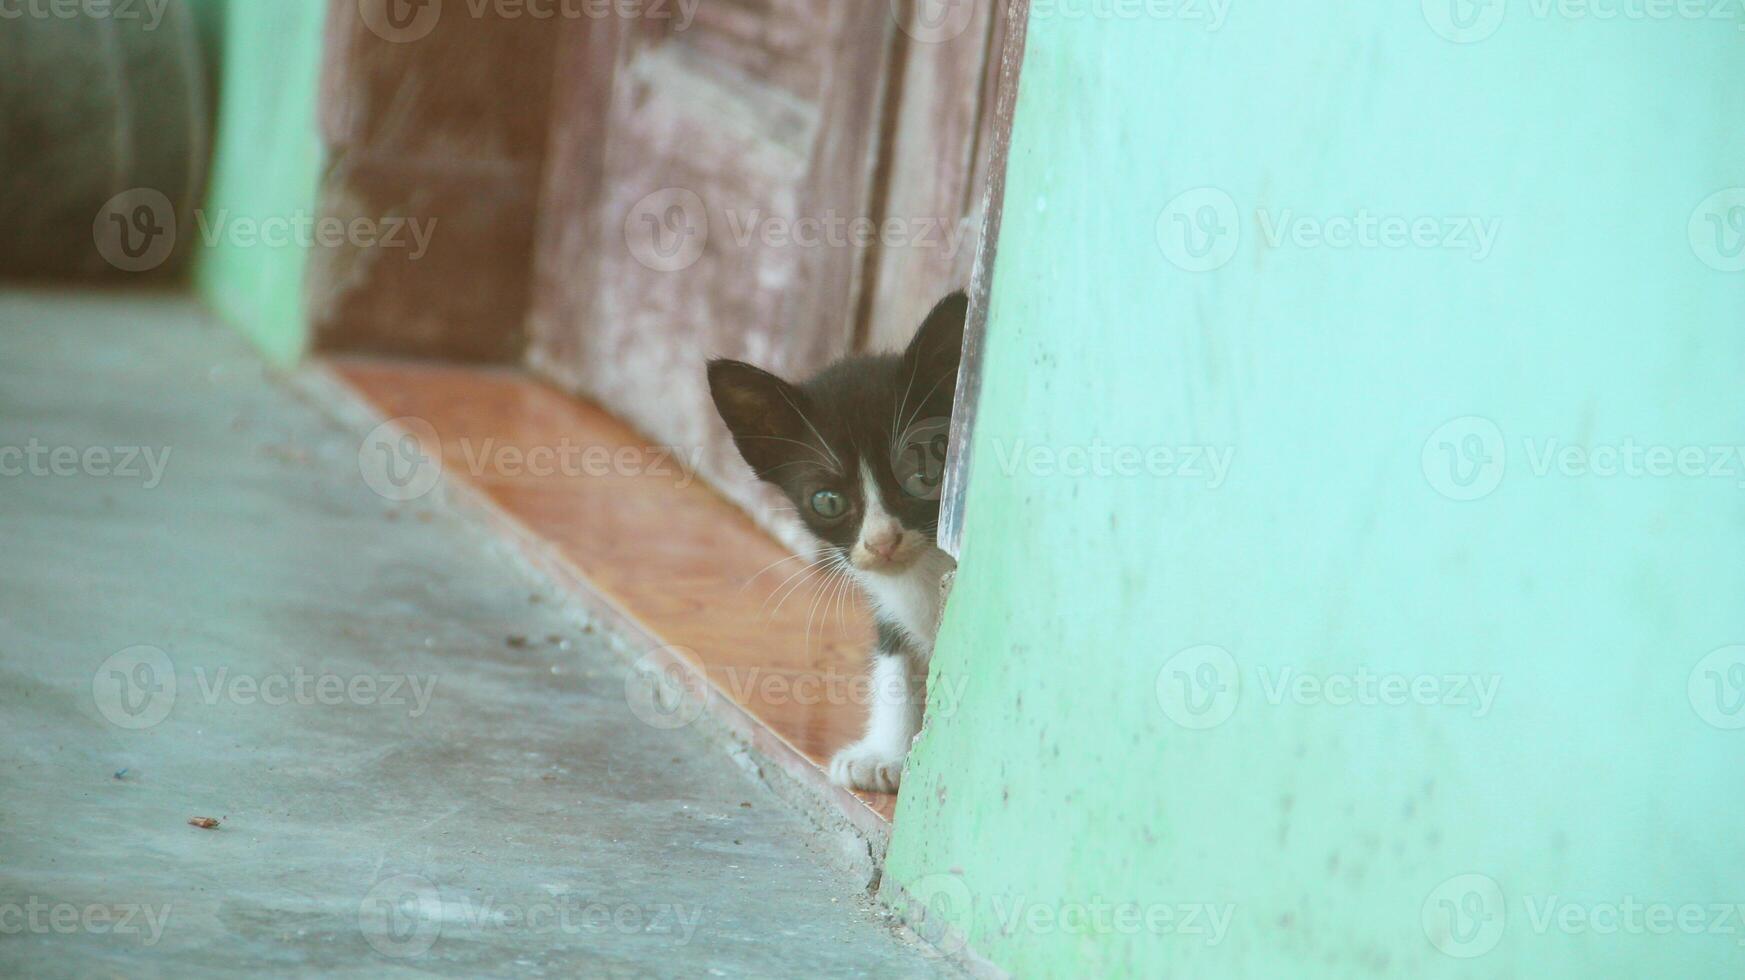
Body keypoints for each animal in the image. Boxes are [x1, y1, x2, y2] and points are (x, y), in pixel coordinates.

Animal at [704, 291, 970, 795]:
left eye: (922, 474)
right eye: (827, 501)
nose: (883, 541)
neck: (920, 576)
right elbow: (894, 659)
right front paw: (885, 753)